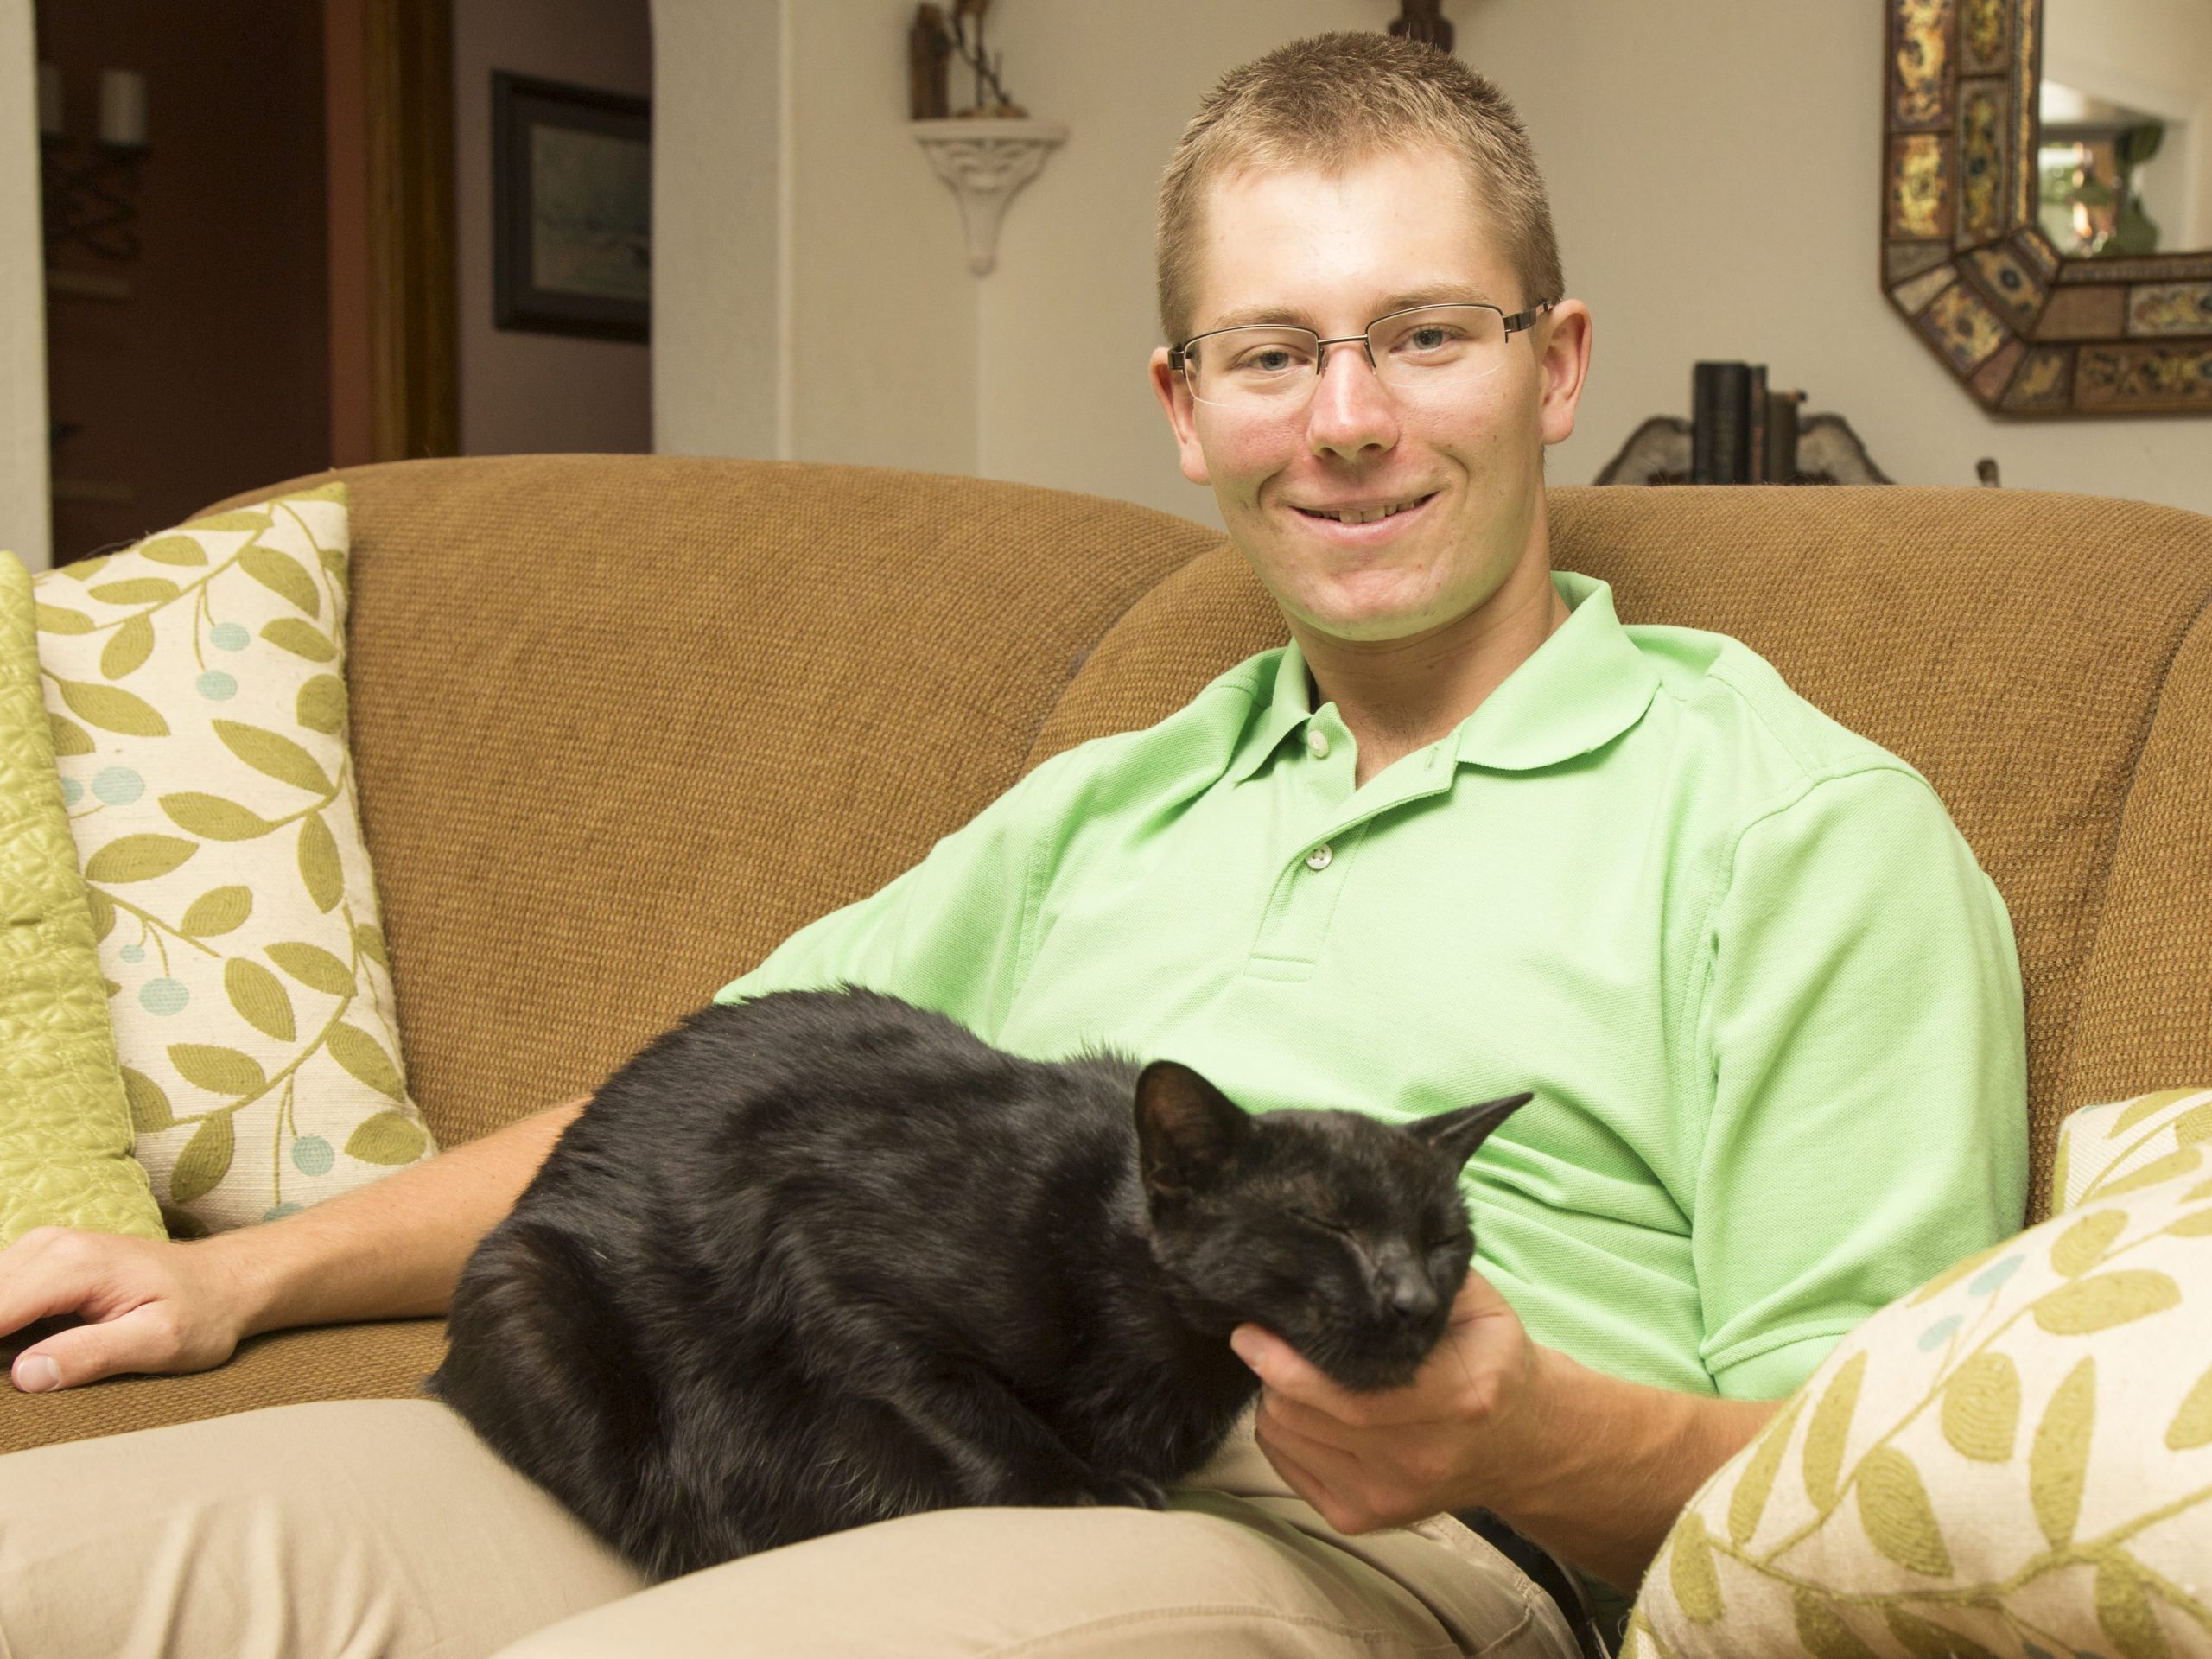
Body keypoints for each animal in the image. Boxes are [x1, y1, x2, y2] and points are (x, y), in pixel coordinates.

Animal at [428, 985, 1532, 1581]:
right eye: (1324, 1225)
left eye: (1444, 1239)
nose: (1412, 1301)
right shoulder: (828, 1263)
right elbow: (972, 1409)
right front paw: (1078, 1487)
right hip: (535, 1296)